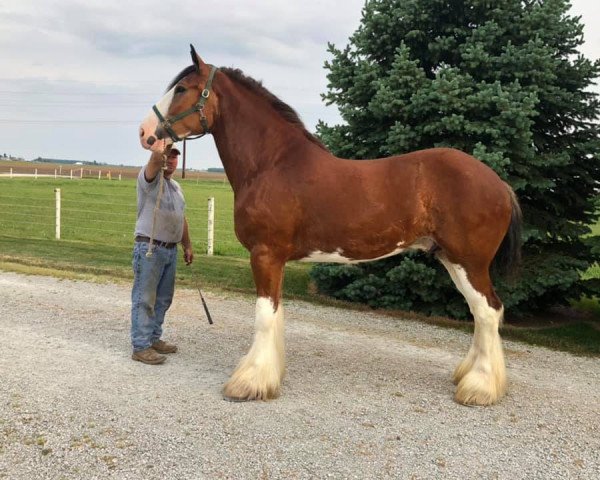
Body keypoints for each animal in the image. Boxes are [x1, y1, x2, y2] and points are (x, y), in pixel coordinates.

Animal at [139, 45, 520, 404]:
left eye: (182, 88)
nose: (145, 133)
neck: (272, 164)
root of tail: (499, 183)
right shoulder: (275, 259)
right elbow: (276, 314)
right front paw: (270, 375)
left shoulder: (265, 254)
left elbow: (264, 316)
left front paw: (249, 382)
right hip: (451, 258)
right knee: (481, 312)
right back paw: (468, 375)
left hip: (469, 262)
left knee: (487, 311)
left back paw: (480, 388)